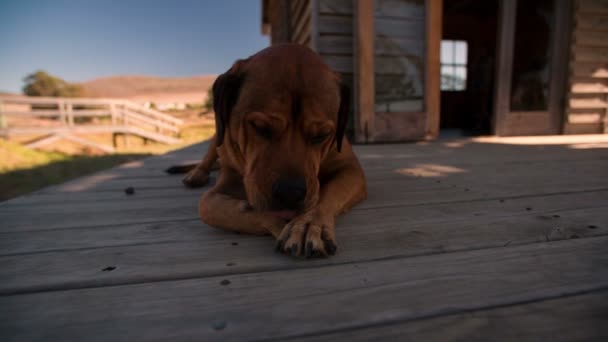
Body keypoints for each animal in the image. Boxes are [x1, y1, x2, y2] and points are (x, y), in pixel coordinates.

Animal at [172, 43, 370, 256]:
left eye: (322, 135)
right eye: (260, 127)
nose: (290, 192)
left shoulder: (350, 169)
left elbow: (326, 195)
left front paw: (308, 223)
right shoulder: (225, 182)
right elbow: (207, 206)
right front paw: (275, 221)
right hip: (218, 136)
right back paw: (196, 173)